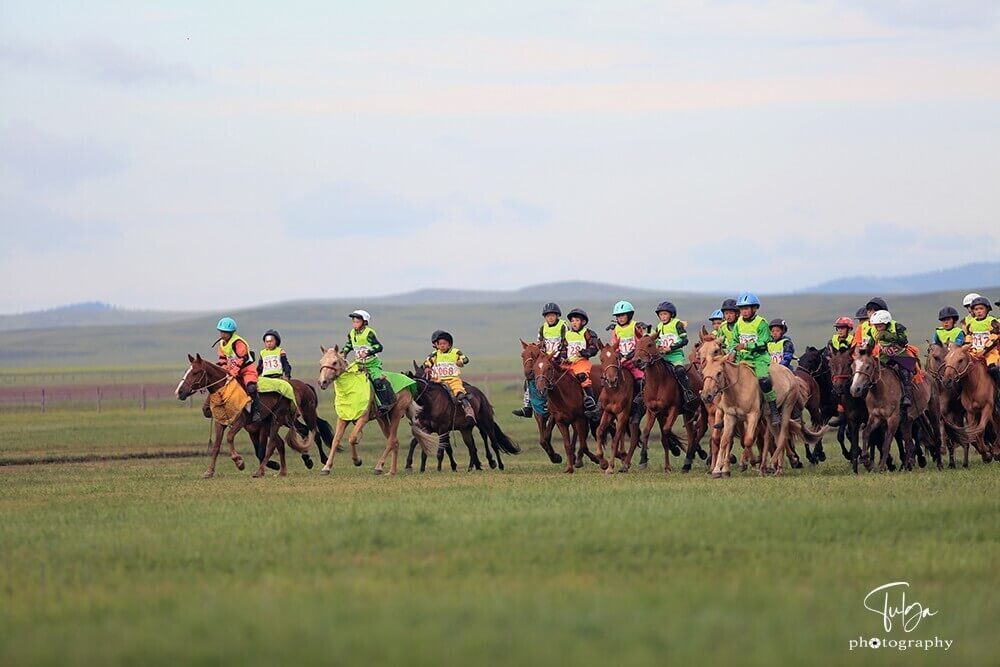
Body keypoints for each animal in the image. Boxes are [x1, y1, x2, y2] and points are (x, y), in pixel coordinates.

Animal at [314, 348, 436, 478]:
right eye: (320, 362)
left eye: (335, 362)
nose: (322, 382)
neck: (350, 390)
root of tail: (409, 385)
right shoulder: (343, 418)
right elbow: (335, 440)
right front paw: (326, 467)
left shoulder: (363, 418)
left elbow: (352, 438)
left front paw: (357, 461)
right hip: (382, 418)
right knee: (395, 441)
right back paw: (392, 471)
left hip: (396, 413)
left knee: (391, 441)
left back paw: (379, 467)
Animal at [628, 336, 708, 472]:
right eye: (636, 345)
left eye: (650, 344)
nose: (637, 361)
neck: (657, 384)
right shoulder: (653, 411)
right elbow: (647, 432)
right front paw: (643, 460)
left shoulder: (673, 409)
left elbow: (666, 431)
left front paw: (674, 452)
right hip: (687, 412)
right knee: (691, 434)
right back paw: (689, 460)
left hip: (700, 408)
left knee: (700, 430)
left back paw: (698, 456)